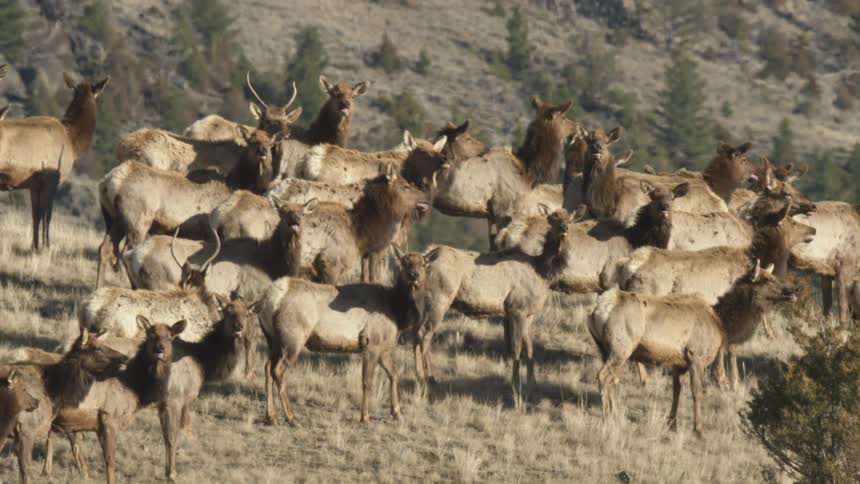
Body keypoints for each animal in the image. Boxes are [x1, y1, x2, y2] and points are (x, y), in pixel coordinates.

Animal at [0, 72, 109, 250]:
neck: (73, 141)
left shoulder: (35, 184)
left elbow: (36, 215)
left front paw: (34, 246)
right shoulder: (52, 178)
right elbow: (47, 215)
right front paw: (46, 246)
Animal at [2, 330, 128, 484]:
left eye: (105, 344)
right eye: (97, 348)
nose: (125, 357)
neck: (54, 391)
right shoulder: (26, 429)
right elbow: (25, 470)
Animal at [589, 260, 798, 435]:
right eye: (767, 280)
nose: (793, 290)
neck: (722, 324)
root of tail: (596, 311)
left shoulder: (677, 363)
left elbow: (676, 391)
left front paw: (672, 423)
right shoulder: (696, 355)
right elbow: (697, 392)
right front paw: (699, 428)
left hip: (606, 349)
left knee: (614, 379)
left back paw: (615, 414)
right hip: (621, 347)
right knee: (603, 376)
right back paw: (607, 418)